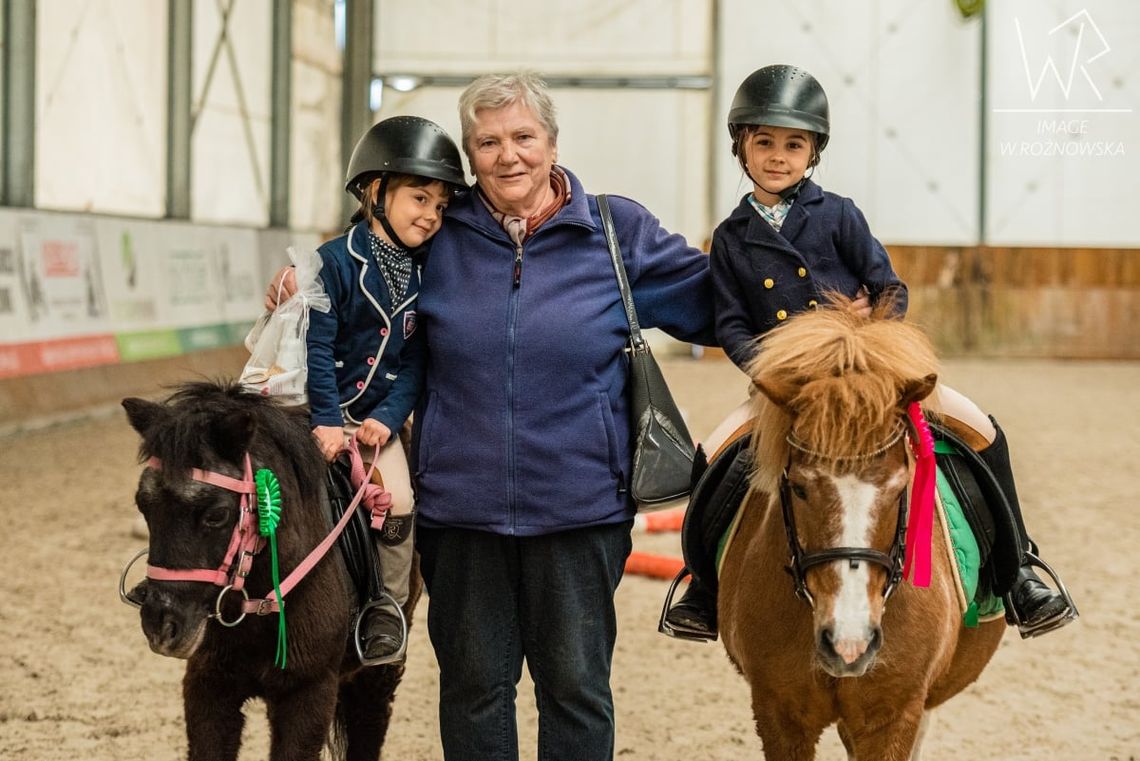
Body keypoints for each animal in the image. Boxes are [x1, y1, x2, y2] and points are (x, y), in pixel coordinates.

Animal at [119, 382, 419, 756]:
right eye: (144, 505)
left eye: (216, 515)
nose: (162, 626)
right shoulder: (208, 686)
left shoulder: (308, 693)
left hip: (379, 673)